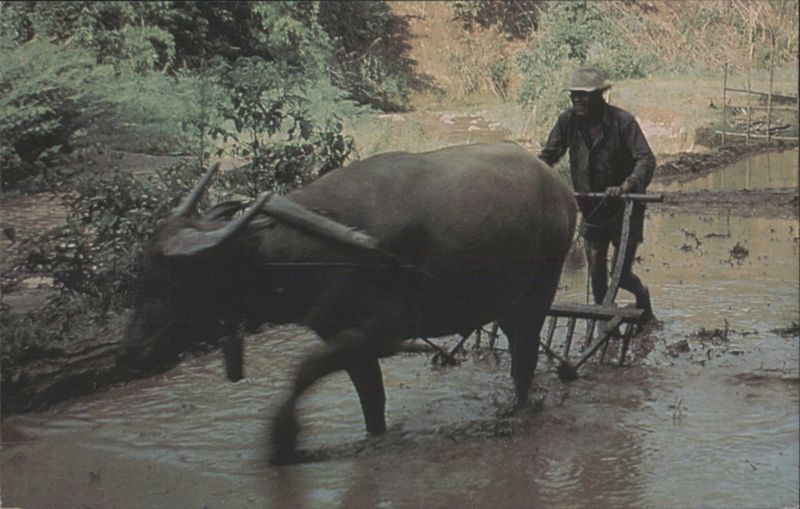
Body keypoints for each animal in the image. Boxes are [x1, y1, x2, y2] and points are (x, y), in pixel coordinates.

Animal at [123, 142, 577, 464]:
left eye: (171, 285)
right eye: (140, 278)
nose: (134, 350)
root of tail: (560, 189)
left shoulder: (382, 331)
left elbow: (304, 369)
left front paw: (283, 437)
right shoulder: (345, 335)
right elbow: (370, 400)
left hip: (536, 294)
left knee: (524, 358)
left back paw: (519, 412)